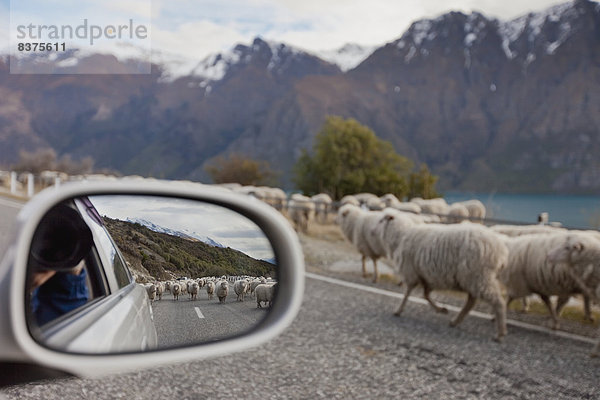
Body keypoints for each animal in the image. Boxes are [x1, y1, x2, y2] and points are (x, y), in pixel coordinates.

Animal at [378, 212, 508, 340]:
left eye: (381, 220)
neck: (401, 235)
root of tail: (501, 250)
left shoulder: (411, 272)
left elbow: (407, 293)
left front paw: (398, 310)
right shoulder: (426, 277)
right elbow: (426, 295)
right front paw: (441, 309)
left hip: (479, 275)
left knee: (497, 302)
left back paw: (500, 333)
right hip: (474, 278)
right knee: (471, 302)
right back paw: (455, 321)